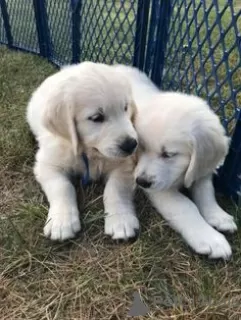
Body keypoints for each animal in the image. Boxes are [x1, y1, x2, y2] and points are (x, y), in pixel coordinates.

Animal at [26, 62, 139, 240]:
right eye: (96, 118)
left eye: (125, 108)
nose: (131, 145)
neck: (89, 152)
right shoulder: (47, 165)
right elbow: (63, 187)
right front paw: (61, 222)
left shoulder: (124, 165)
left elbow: (115, 189)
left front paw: (121, 221)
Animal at [115, 65, 237, 260]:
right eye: (140, 147)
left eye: (169, 154)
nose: (141, 182)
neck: (181, 175)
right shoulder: (161, 190)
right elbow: (186, 207)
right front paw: (210, 238)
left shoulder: (202, 169)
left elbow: (206, 192)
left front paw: (218, 215)